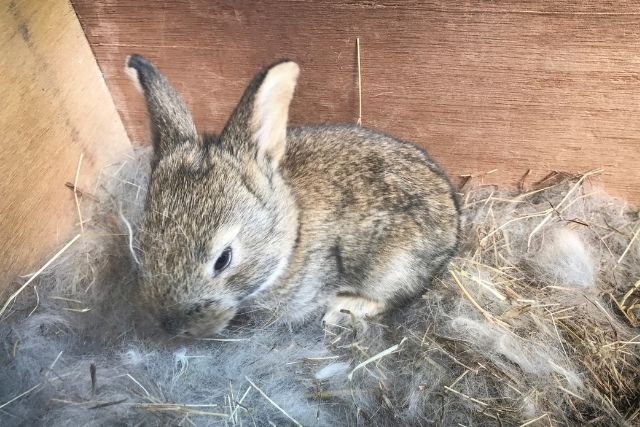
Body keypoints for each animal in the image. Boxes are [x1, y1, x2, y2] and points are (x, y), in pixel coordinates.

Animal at [125, 55, 458, 340]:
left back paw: (343, 308)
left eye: (223, 259)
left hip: (393, 266)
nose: (172, 326)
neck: (292, 234)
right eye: (142, 245)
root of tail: (455, 218)